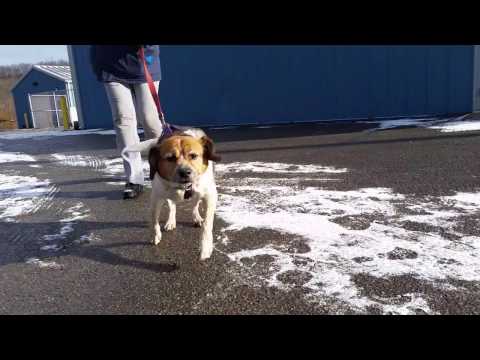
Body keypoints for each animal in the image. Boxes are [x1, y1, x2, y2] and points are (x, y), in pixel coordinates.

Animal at [123, 128, 222, 260]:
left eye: (193, 156)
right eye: (170, 158)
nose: (185, 172)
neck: (183, 187)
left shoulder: (210, 195)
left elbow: (207, 224)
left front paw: (205, 248)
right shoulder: (156, 197)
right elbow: (153, 219)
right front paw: (155, 235)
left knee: (194, 204)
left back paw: (196, 217)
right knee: (172, 206)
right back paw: (171, 221)